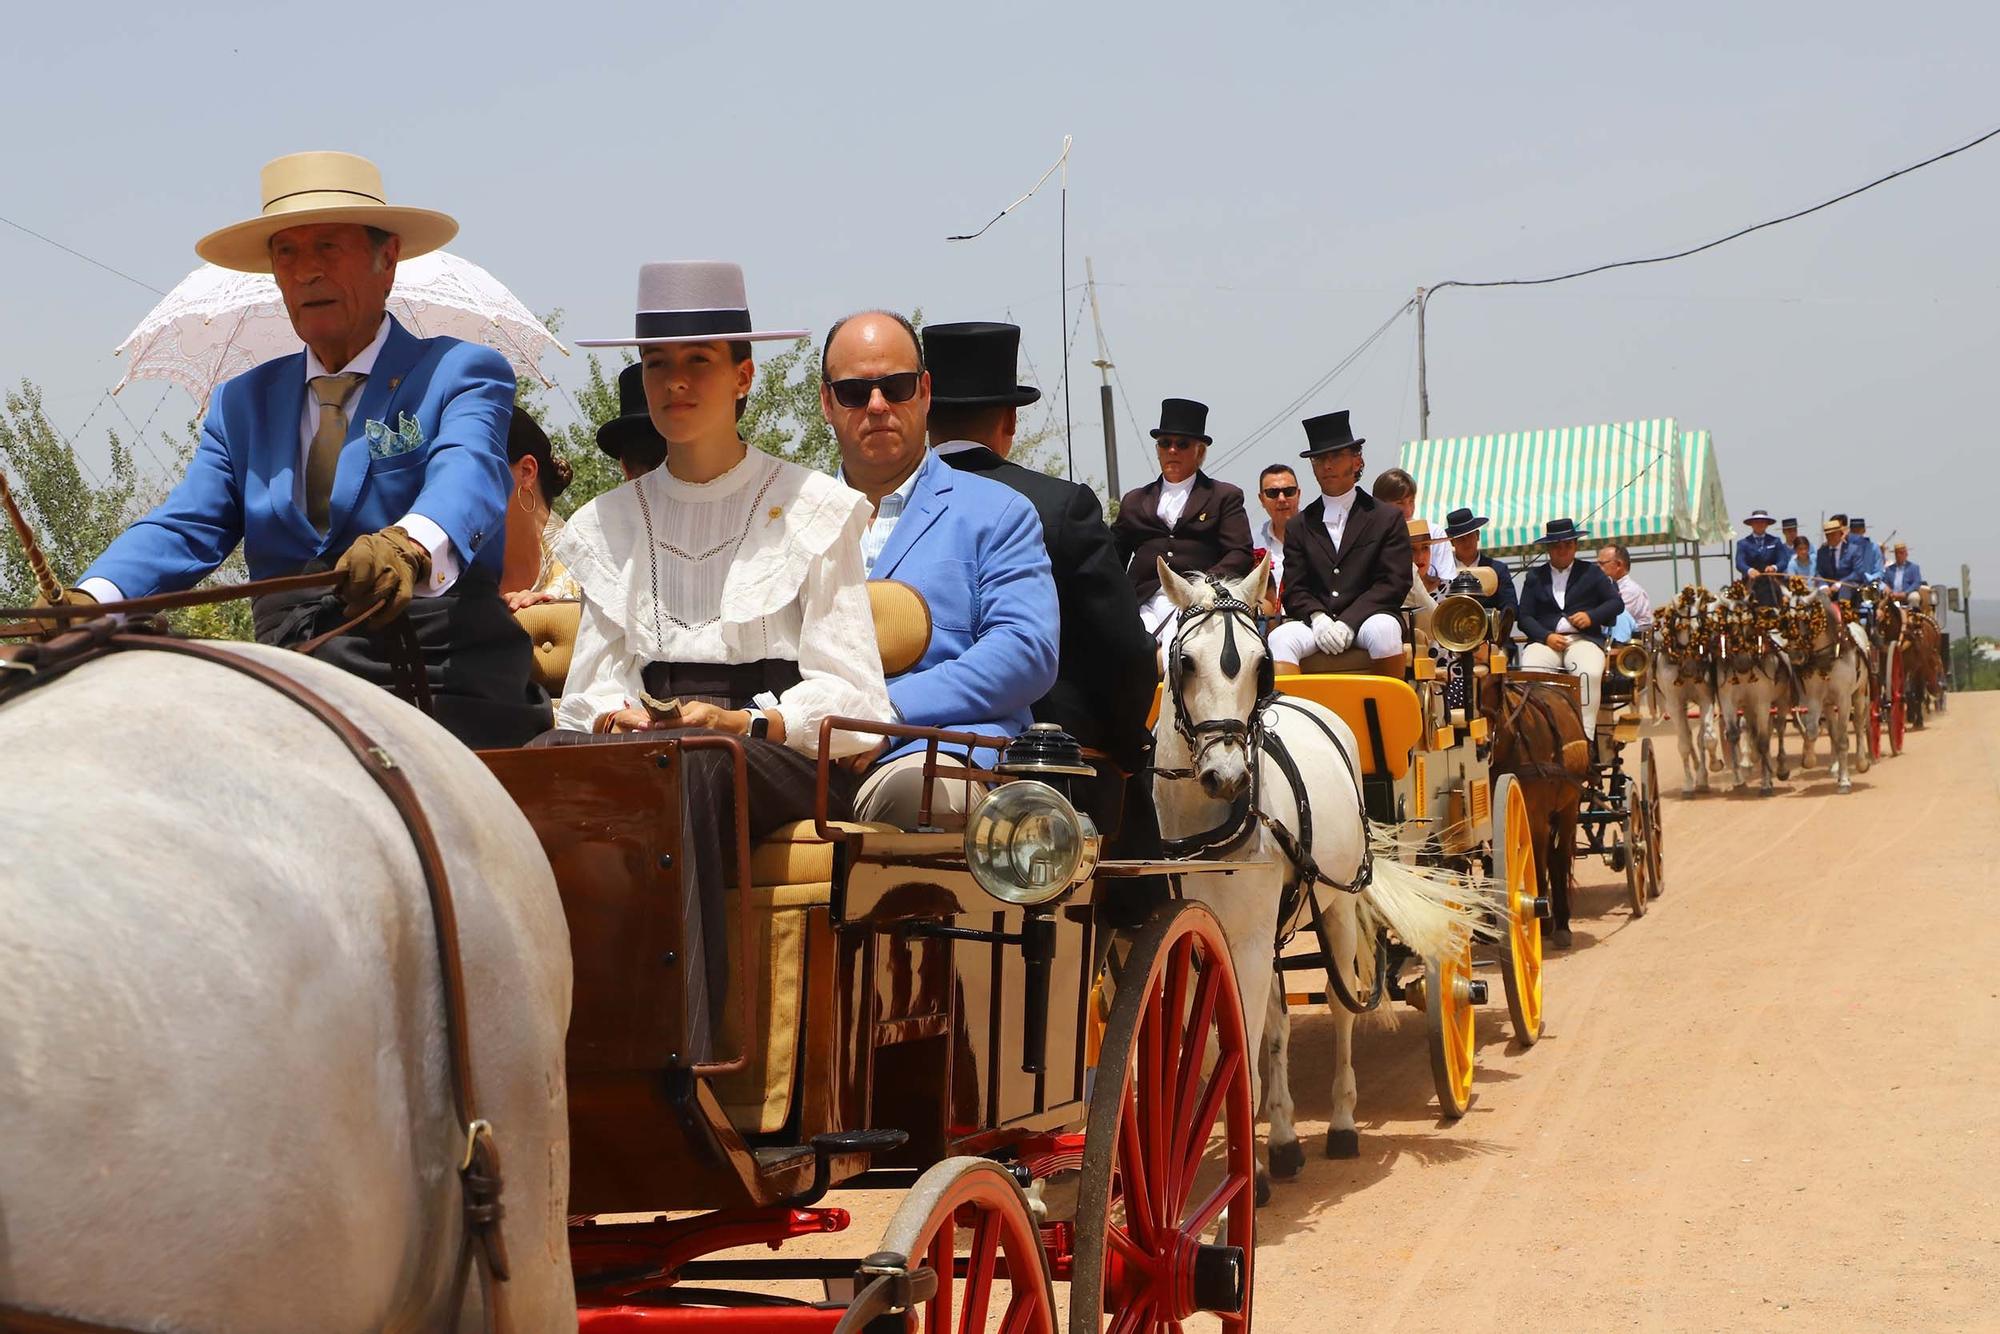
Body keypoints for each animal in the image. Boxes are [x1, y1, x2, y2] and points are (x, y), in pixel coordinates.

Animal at [1160, 560, 1488, 1184]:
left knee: (1341, 1005)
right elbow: (1221, 1044)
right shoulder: (1206, 934)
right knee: (1281, 1023)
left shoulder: (1251, 932)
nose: (1227, 776)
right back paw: (1288, 1139)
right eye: (1184, 662)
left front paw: (1248, 1177)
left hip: (1336, 903)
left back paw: (1340, 1125)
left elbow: (1244, 1052)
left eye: (1260, 666)